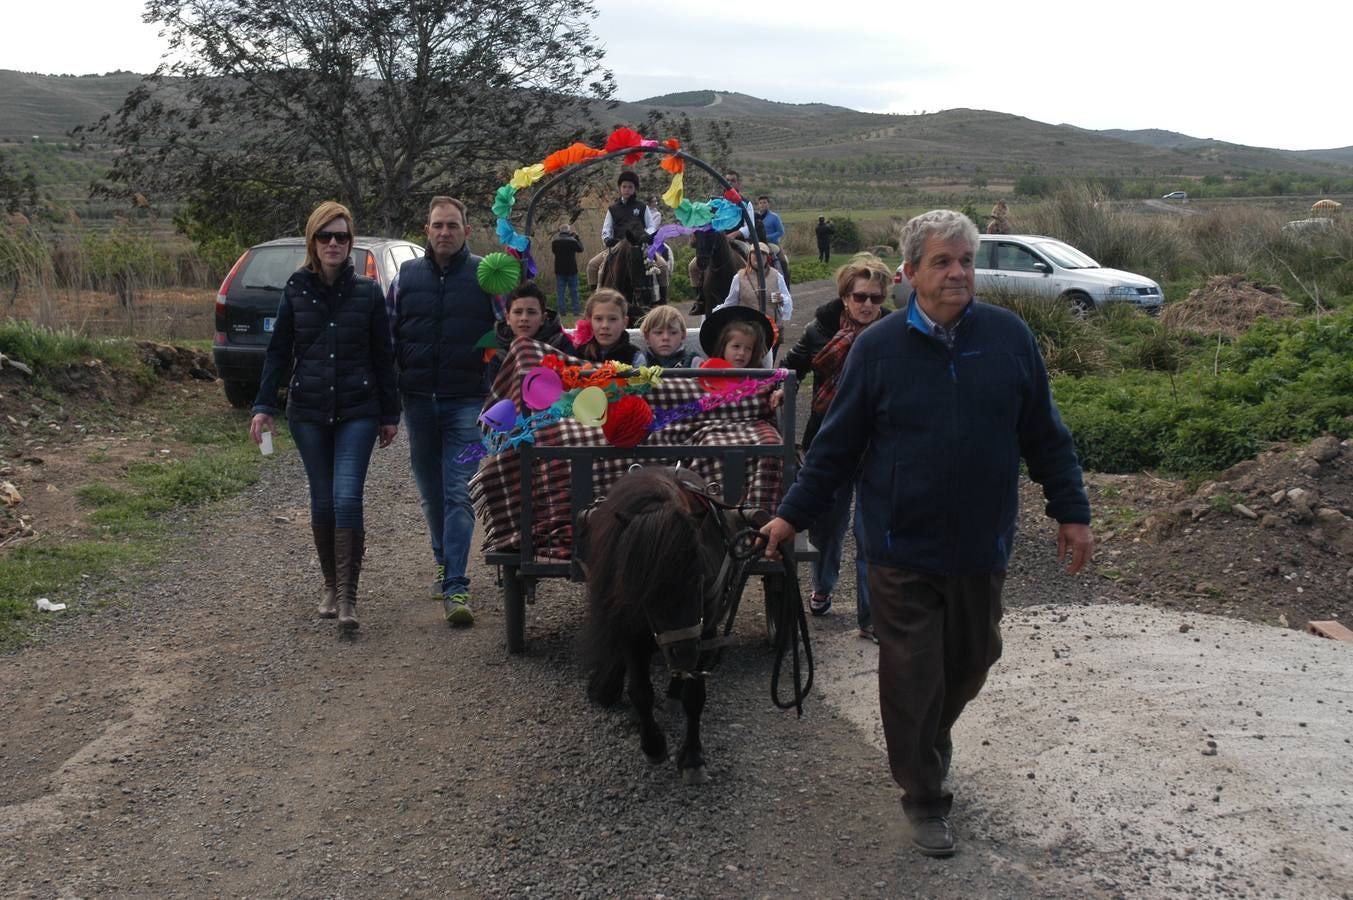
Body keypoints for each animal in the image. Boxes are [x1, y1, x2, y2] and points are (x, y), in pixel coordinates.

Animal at [576, 465, 757, 784]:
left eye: (700, 574)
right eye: (645, 584)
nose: (683, 652)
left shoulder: (703, 631)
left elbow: (695, 696)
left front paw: (693, 758)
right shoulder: (630, 632)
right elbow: (640, 692)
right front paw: (653, 744)